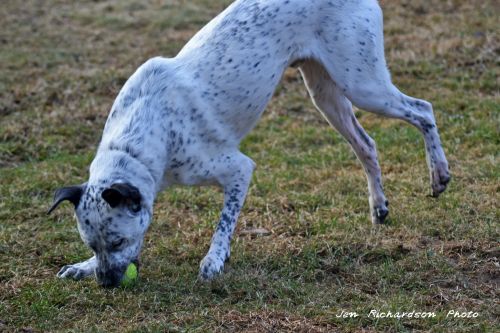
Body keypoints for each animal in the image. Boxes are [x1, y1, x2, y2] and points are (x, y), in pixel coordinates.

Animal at [48, 0, 452, 286]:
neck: (140, 138)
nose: (106, 284)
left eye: (117, 242)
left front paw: (214, 260)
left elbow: (224, 223)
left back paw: (439, 175)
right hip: (325, 94)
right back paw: (379, 207)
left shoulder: (238, 169)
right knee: (367, 145)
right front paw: (83, 267)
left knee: (424, 109)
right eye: (93, 244)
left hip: (364, 85)